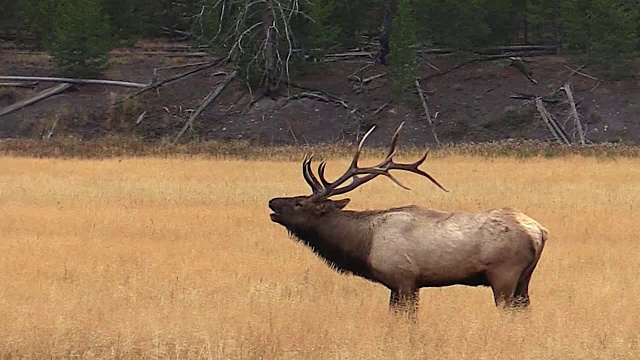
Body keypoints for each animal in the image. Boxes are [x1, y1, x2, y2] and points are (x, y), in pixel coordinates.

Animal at [268, 122, 548, 316]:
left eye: (299, 203)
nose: (272, 202)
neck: (364, 244)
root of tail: (540, 232)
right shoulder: (400, 286)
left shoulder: (404, 280)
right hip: (525, 277)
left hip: (504, 273)